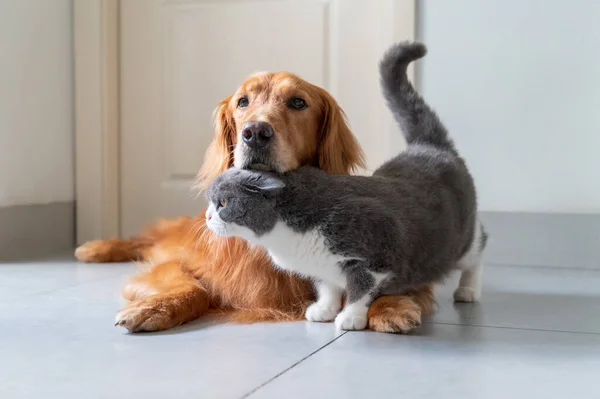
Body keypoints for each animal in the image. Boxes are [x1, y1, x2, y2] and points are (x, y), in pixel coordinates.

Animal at [75, 71, 434, 332]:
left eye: (298, 102)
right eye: (242, 101)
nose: (255, 133)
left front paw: (392, 306)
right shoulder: (177, 264)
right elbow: (196, 287)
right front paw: (155, 307)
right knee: (147, 240)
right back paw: (95, 248)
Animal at [204, 42, 486, 332]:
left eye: (297, 102)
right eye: (242, 101)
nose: (255, 132)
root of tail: (427, 146)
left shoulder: (375, 256)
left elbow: (360, 290)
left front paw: (351, 317)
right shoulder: (320, 268)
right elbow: (327, 286)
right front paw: (324, 309)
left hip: (462, 241)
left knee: (478, 251)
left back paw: (468, 290)